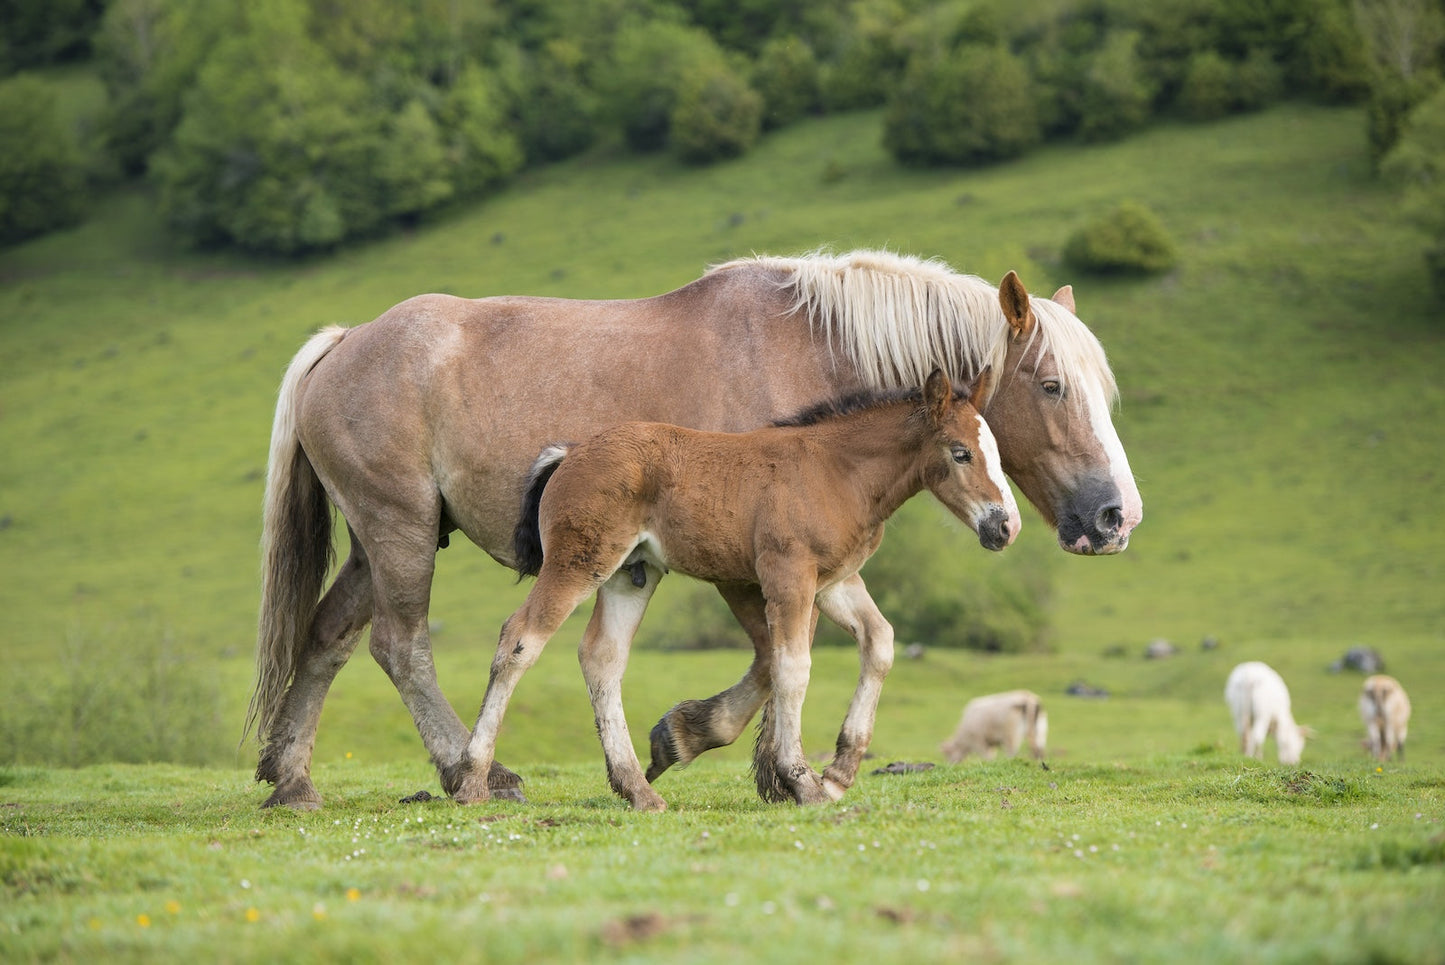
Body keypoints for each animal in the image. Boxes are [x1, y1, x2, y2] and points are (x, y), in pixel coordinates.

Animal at [245, 247, 1138, 808]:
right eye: (1052, 385)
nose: (1115, 515)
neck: (805, 356)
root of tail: (343, 342)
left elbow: (848, 645)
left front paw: (768, 760)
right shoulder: (751, 567)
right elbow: (776, 660)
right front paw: (738, 754)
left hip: (386, 540)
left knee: (326, 636)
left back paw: (292, 778)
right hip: (400, 532)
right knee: (404, 646)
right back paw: (472, 770)